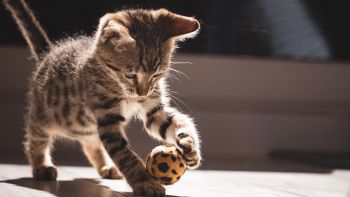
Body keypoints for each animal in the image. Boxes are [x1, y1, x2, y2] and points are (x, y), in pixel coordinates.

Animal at [4, 0, 202, 196]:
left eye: (157, 75)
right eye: (130, 75)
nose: (142, 93)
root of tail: (49, 53)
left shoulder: (154, 110)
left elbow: (176, 123)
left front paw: (189, 145)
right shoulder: (107, 118)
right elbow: (125, 155)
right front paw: (145, 182)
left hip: (87, 127)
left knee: (91, 144)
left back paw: (106, 166)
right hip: (43, 115)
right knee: (35, 138)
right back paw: (41, 166)